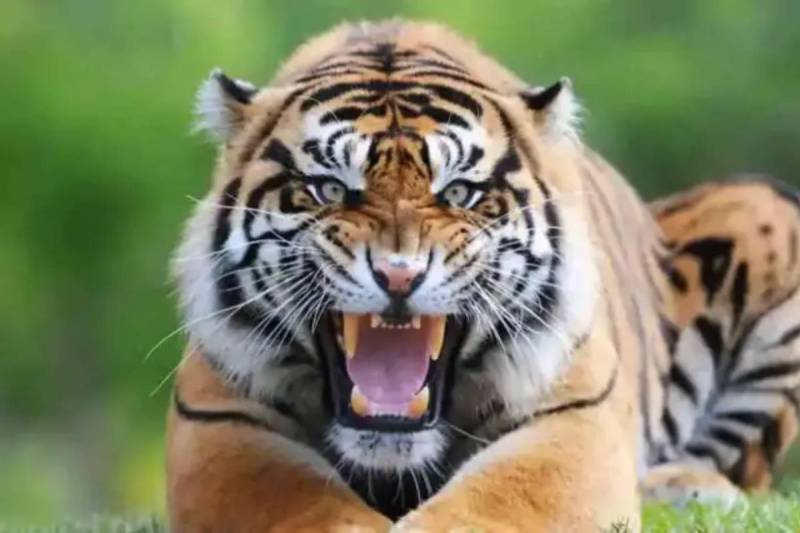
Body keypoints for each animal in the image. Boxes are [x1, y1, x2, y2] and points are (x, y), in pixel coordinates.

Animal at [166, 19, 800, 532]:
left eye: (459, 194)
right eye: (328, 189)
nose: (399, 275)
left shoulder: (573, 418)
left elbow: (501, 500)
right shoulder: (221, 421)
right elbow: (300, 502)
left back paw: (687, 489)